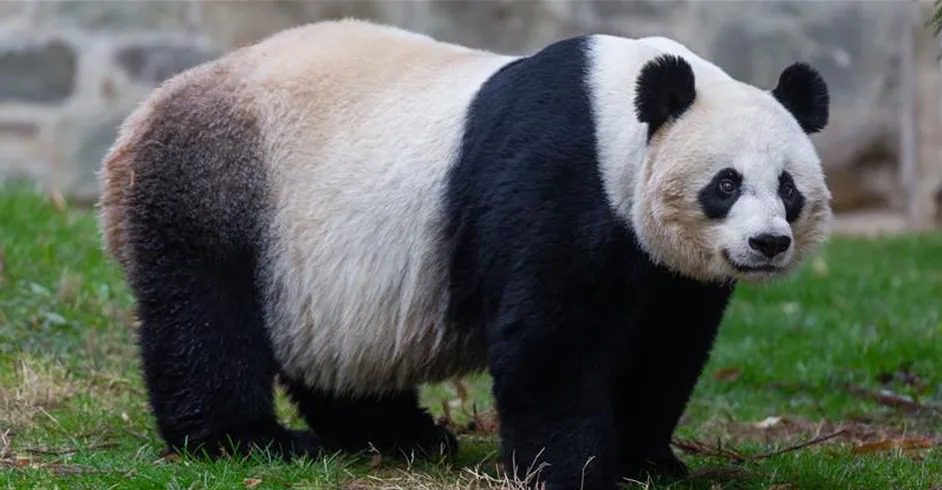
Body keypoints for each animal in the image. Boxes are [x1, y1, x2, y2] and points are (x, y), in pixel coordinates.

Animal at [99, 20, 831, 490]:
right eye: (725, 184)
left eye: (788, 188)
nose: (767, 244)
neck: (621, 119)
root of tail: (134, 128)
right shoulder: (559, 178)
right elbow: (549, 339)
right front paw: (573, 468)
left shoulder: (665, 270)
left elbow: (663, 347)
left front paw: (649, 459)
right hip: (216, 185)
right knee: (205, 317)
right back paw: (248, 439)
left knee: (331, 355)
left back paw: (401, 434)